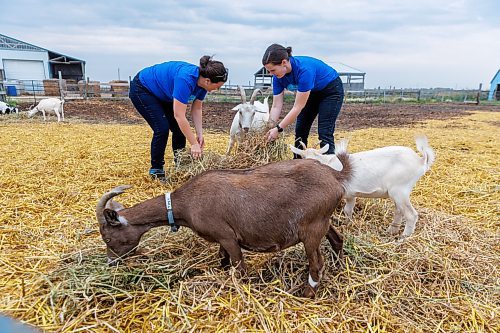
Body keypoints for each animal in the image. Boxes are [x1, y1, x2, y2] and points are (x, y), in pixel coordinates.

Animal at [96, 157, 352, 296]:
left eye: (107, 238)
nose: (111, 263)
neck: (185, 204)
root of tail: (334, 176)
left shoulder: (228, 236)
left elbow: (239, 268)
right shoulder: (221, 239)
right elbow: (223, 259)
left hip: (311, 230)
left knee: (317, 264)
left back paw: (307, 293)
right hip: (322, 222)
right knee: (337, 238)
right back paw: (340, 267)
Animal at [292, 136, 436, 239]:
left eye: (315, 158)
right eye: (302, 156)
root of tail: (420, 161)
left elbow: (346, 210)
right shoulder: (351, 194)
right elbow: (348, 210)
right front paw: (348, 224)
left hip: (400, 190)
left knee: (411, 215)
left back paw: (403, 238)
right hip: (397, 193)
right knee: (399, 211)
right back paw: (391, 231)